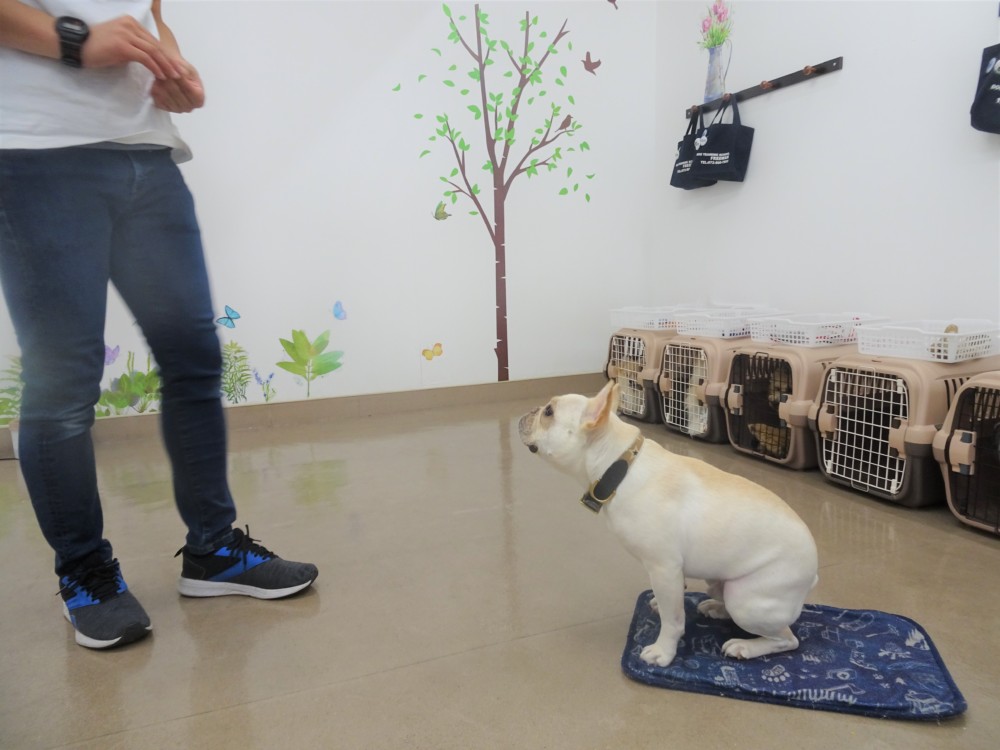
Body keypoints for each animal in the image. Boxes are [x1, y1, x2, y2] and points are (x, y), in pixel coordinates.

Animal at [518, 380, 819, 666]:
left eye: (548, 412)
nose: (530, 412)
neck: (619, 466)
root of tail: (812, 573)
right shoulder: (672, 571)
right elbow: (673, 599)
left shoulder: (664, 568)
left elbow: (672, 619)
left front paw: (663, 652)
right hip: (719, 583)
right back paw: (717, 609)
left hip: (747, 600)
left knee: (787, 639)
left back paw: (745, 646)